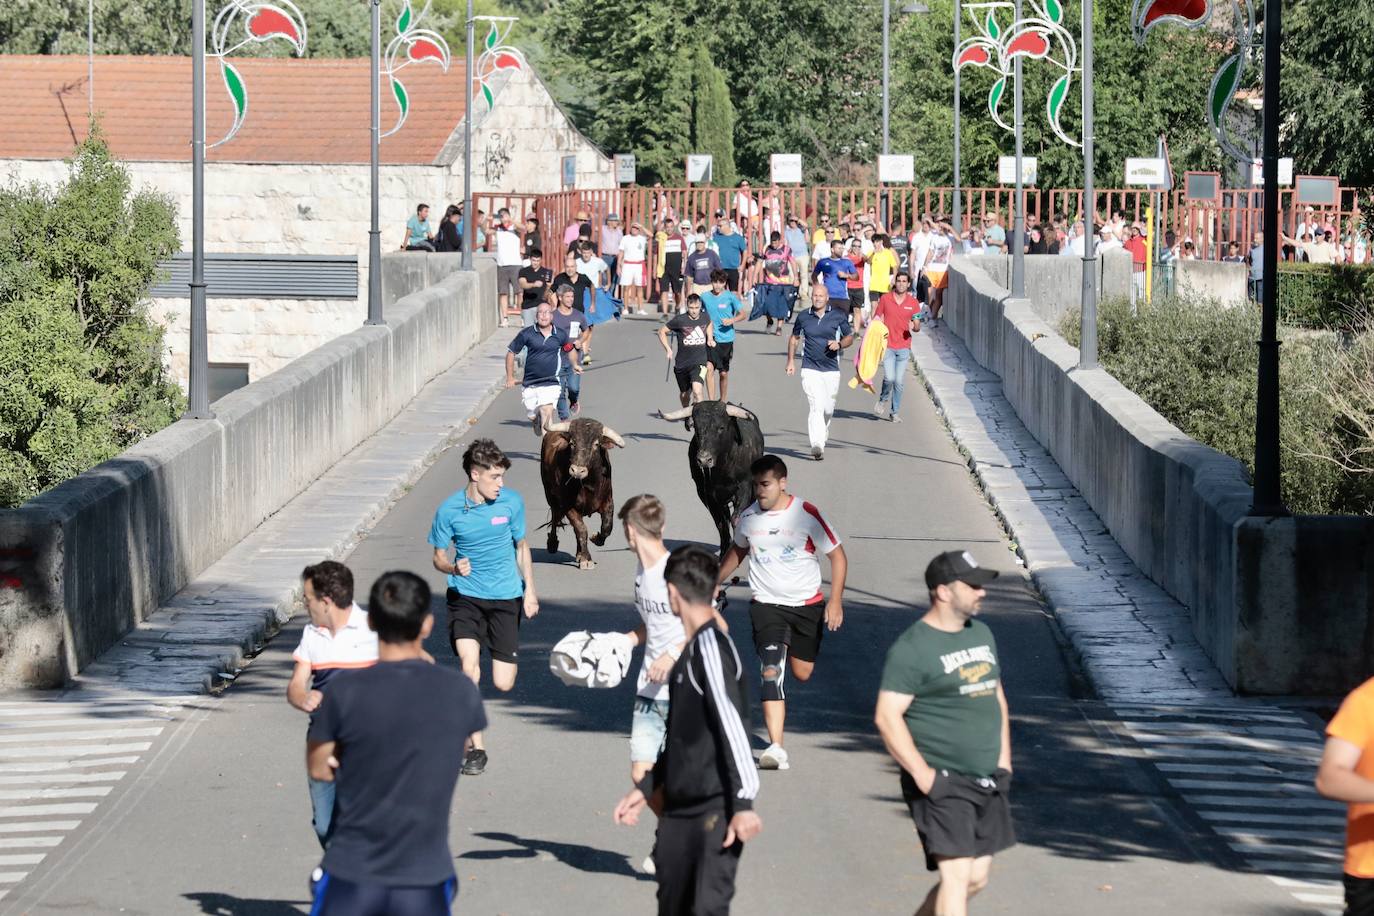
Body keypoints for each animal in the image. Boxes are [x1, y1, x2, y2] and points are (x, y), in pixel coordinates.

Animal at [538, 420, 626, 568]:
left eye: (596, 444)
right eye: (572, 443)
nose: (577, 471)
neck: (586, 484)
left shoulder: (608, 501)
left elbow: (607, 527)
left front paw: (595, 538)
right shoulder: (568, 506)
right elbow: (581, 529)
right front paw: (586, 559)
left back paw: (579, 553)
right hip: (550, 495)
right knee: (556, 517)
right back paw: (553, 544)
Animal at [654, 403, 763, 560]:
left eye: (721, 427)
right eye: (696, 427)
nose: (704, 460)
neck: (722, 469)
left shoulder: (745, 487)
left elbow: (736, 518)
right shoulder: (707, 494)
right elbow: (721, 523)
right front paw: (724, 552)